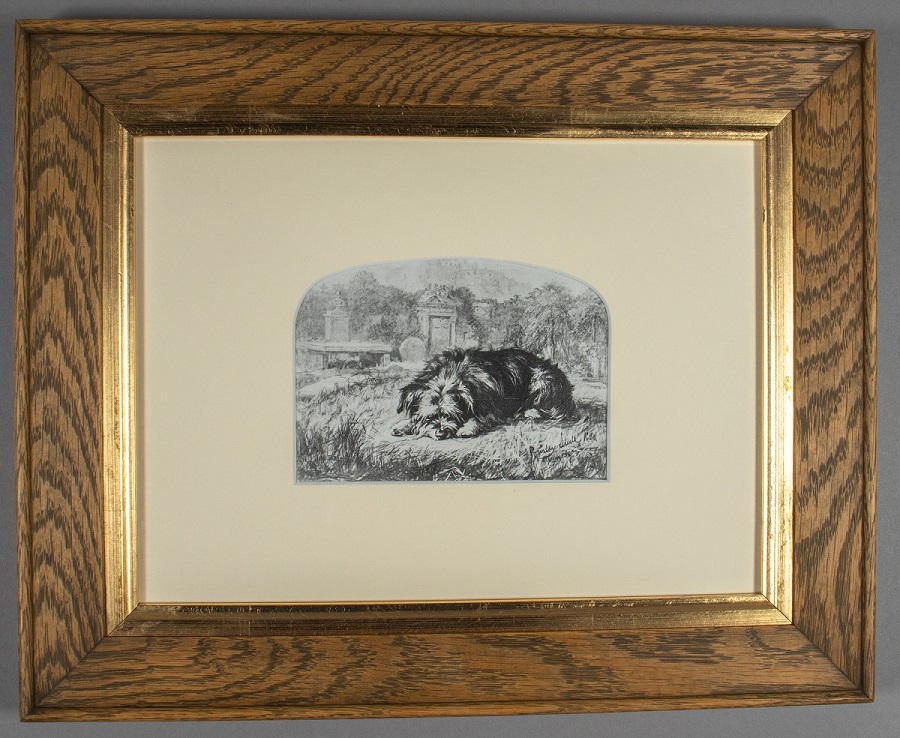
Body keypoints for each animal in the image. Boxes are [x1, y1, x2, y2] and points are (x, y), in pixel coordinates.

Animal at [392, 344, 576, 436]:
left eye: (452, 415)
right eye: (429, 417)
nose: (440, 433)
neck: (452, 373)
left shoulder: (495, 410)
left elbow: (478, 418)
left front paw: (467, 428)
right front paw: (404, 424)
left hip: (542, 380)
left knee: (552, 411)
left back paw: (529, 412)